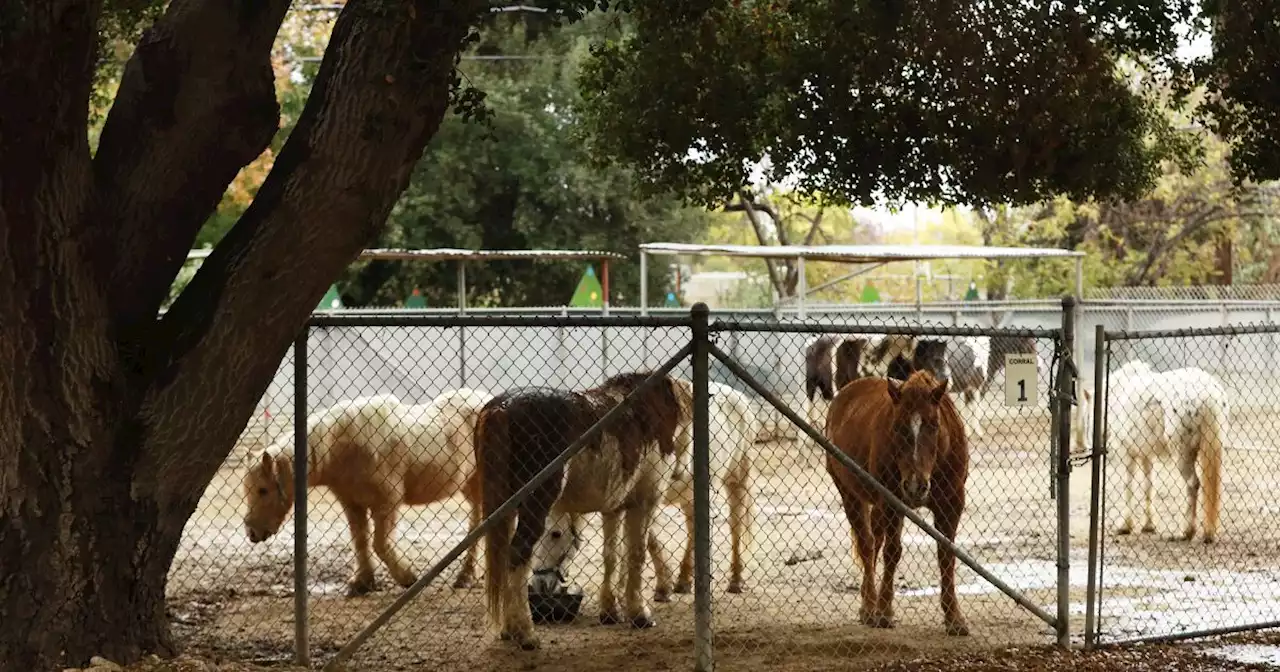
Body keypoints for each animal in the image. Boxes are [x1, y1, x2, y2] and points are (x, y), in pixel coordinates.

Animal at [240, 386, 494, 591]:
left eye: (263, 490)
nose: (252, 533)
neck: (344, 448)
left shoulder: (388, 502)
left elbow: (379, 543)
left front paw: (408, 577)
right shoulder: (352, 503)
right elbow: (360, 540)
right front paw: (362, 581)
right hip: (470, 486)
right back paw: (467, 576)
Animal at [478, 368, 696, 647]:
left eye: (556, 535)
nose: (541, 586)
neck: (649, 410)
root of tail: (502, 408)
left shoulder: (614, 508)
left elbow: (612, 556)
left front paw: (610, 611)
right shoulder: (644, 503)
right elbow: (636, 555)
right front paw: (639, 614)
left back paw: (509, 629)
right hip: (534, 503)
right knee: (518, 553)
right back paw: (525, 633)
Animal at [819, 368, 967, 637]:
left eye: (934, 424)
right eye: (898, 426)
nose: (915, 486)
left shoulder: (951, 505)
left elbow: (946, 555)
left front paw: (954, 617)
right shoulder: (891, 503)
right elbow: (892, 551)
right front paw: (884, 611)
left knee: (874, 540)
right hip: (850, 494)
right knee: (867, 545)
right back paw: (870, 607)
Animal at [1080, 358, 1228, 542]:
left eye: (1087, 417)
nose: (1089, 446)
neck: (1115, 398)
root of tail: (1207, 393)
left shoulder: (1126, 453)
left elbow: (1127, 486)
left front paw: (1125, 526)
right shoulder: (1146, 455)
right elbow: (1148, 486)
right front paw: (1148, 526)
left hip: (1182, 454)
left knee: (1192, 484)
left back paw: (1187, 531)